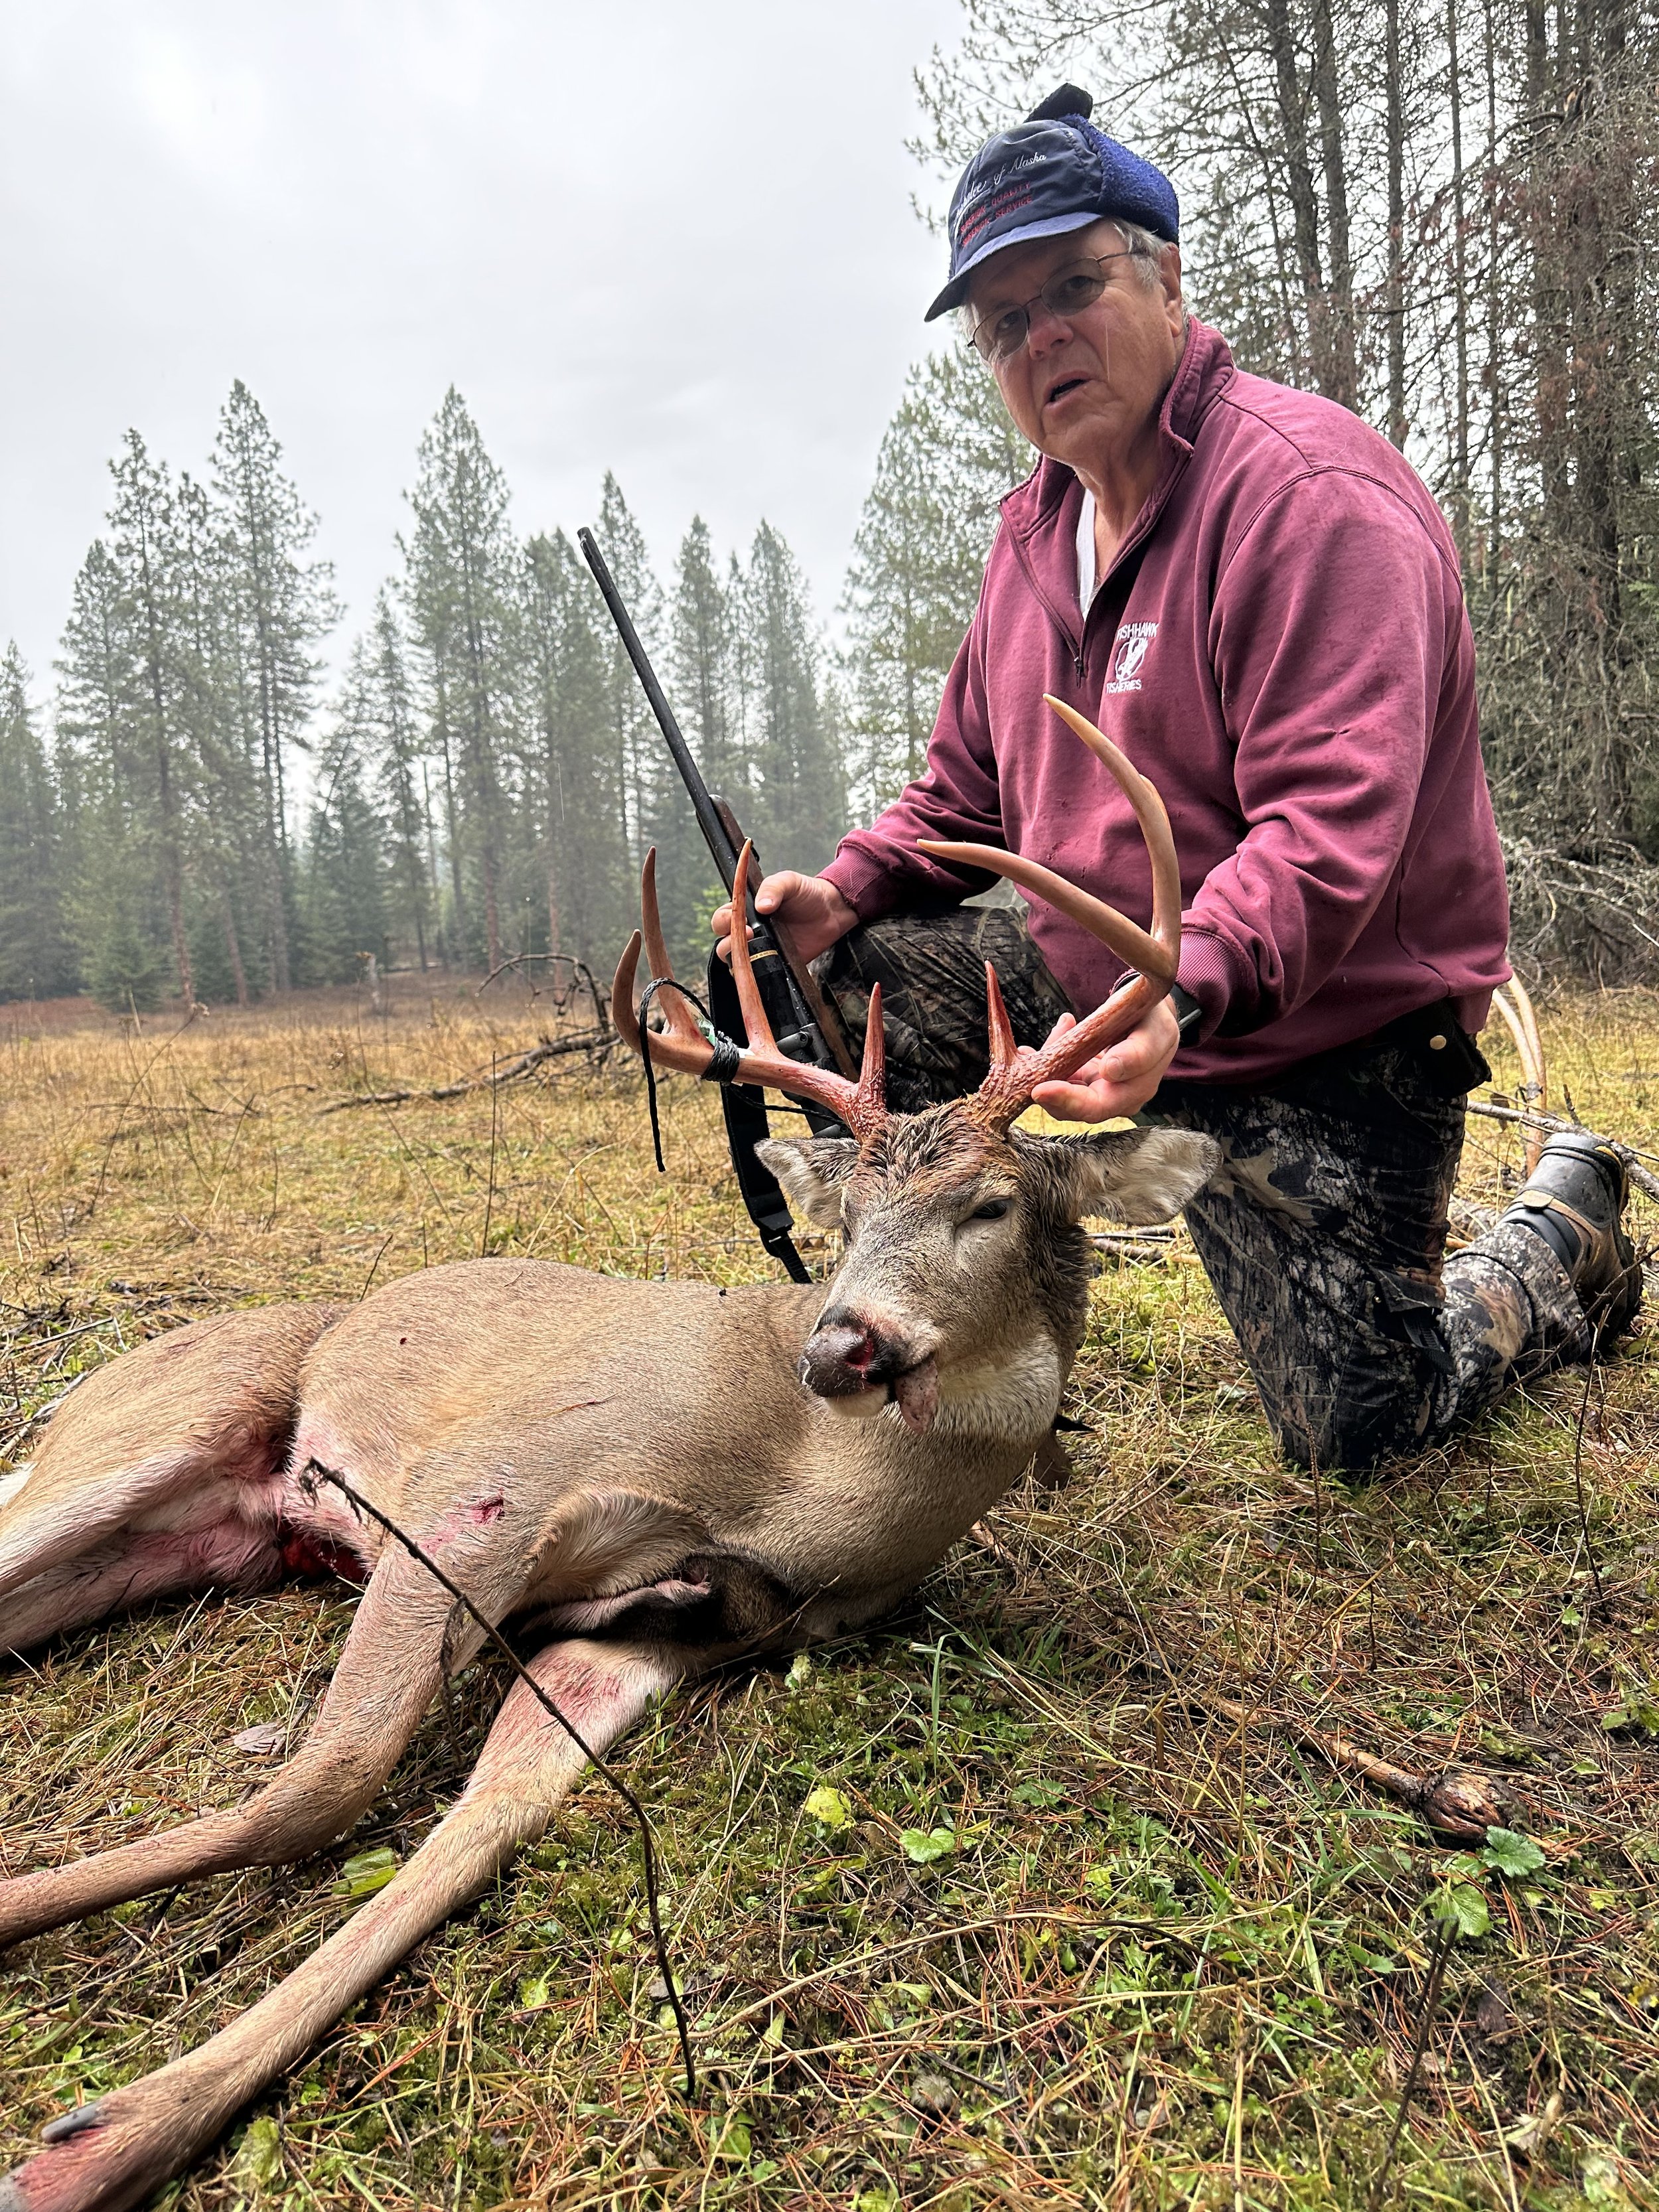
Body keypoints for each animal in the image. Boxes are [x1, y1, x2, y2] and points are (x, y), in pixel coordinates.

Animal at [0, 697, 1219, 2212]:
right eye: (843, 1218)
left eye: (989, 1201)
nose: (844, 1344)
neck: (797, 1496)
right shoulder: (486, 1485)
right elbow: (322, 1779)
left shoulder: (640, 1635)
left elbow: (480, 1826)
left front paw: (100, 2138)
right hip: (143, 1434)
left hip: (194, 1529)